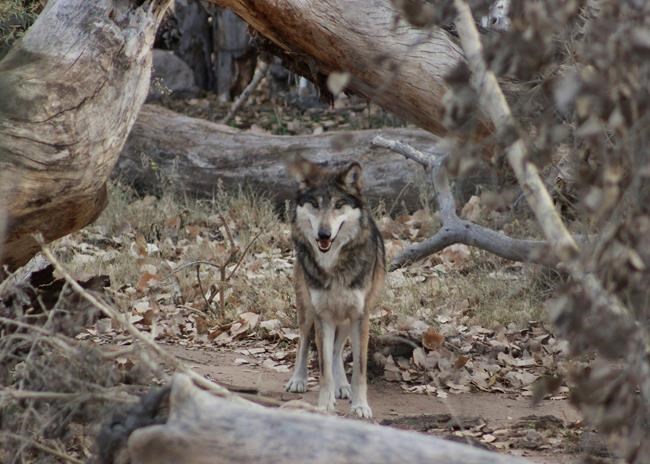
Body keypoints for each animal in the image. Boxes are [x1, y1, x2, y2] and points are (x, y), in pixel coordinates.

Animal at [285, 158, 385, 418]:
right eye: (315, 205)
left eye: (339, 205)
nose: (324, 234)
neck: (334, 265)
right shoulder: (323, 316)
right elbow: (323, 369)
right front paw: (324, 405)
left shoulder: (360, 315)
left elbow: (359, 369)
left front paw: (360, 405)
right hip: (307, 311)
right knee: (304, 342)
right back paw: (298, 380)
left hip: (348, 320)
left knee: (337, 350)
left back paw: (343, 387)